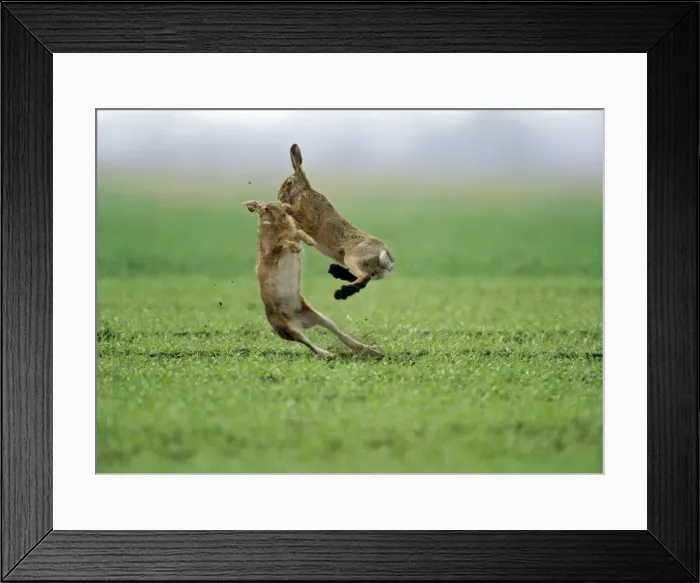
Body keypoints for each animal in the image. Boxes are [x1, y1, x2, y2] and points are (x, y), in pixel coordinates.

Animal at [243, 199, 381, 358]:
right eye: (266, 208)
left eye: (279, 205)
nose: (284, 214)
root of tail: (299, 321)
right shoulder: (270, 255)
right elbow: (282, 243)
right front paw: (296, 248)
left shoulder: (293, 234)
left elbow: (297, 233)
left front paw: (310, 241)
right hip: (289, 330)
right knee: (309, 345)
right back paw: (328, 354)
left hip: (318, 316)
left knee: (337, 333)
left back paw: (371, 350)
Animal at [277, 144, 395, 301]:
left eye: (289, 183)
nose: (279, 196)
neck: (302, 191)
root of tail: (386, 257)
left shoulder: (307, 219)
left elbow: (294, 214)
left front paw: (279, 207)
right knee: (363, 280)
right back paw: (337, 274)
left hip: (352, 257)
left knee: (364, 278)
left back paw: (341, 292)